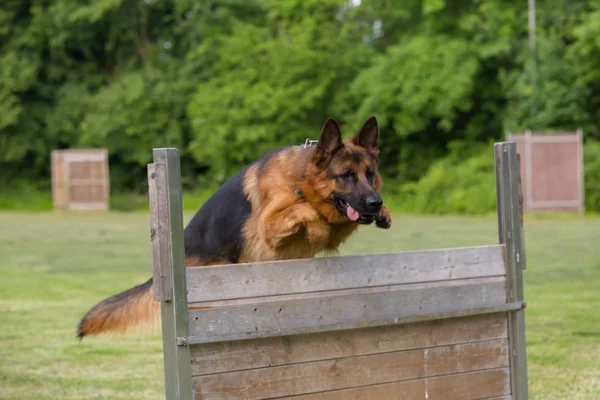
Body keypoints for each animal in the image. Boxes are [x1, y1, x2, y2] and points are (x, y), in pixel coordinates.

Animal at [76, 115, 394, 338]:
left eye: (370, 173)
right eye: (346, 175)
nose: (374, 202)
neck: (301, 179)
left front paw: (385, 213)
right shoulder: (270, 229)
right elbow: (305, 211)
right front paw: (316, 226)